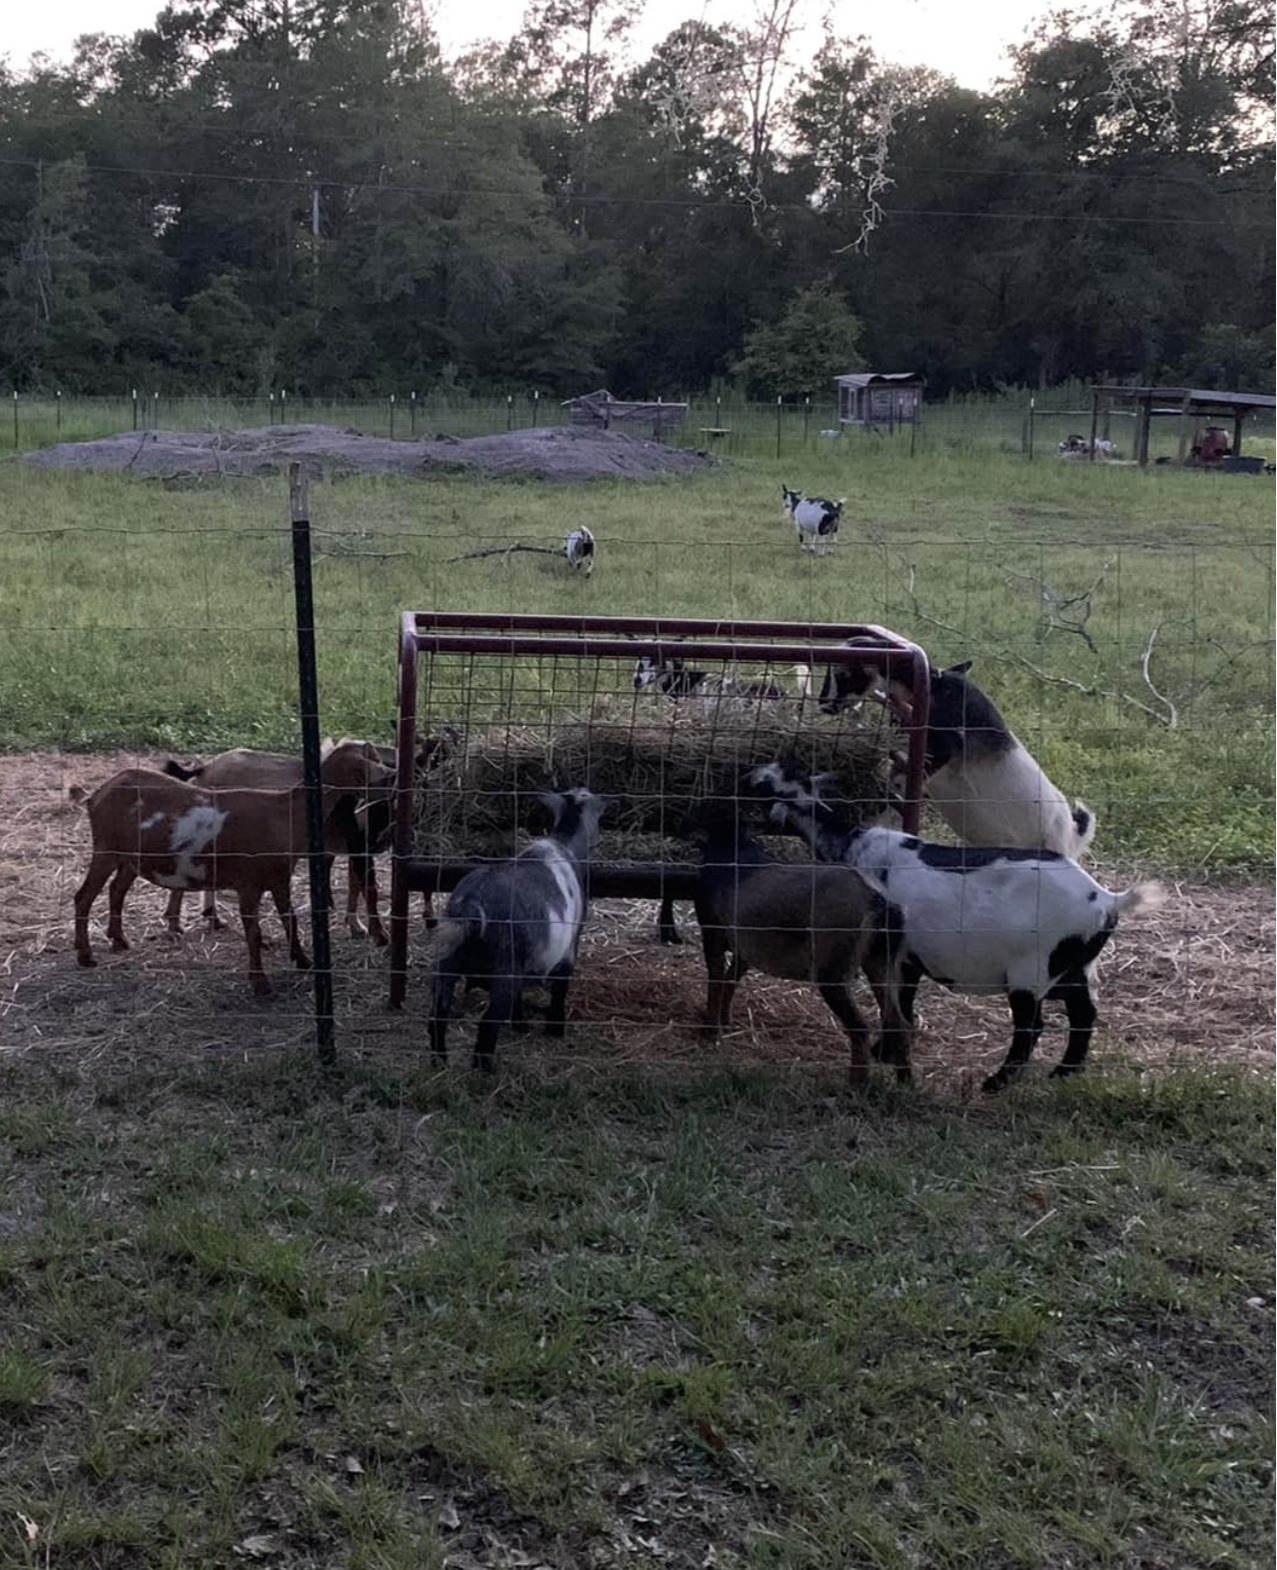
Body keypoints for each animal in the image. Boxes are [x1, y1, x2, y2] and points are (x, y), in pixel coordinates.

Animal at [72, 741, 394, 996]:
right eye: (365, 766)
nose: (391, 778)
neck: (284, 812)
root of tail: (97, 793)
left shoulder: (279, 878)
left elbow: (289, 919)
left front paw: (304, 961)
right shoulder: (248, 884)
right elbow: (255, 933)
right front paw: (260, 983)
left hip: (129, 857)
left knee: (117, 889)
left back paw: (119, 939)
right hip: (105, 849)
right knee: (84, 896)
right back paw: (86, 956)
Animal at [429, 787, 607, 1071]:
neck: (565, 843)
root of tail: (471, 905)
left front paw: (520, 1024)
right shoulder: (570, 945)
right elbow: (561, 986)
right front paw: (555, 1028)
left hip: (447, 958)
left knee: (438, 1015)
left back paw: (439, 1064)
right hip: (504, 965)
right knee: (488, 1023)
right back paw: (484, 1070)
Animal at [693, 813, 912, 1084]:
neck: (732, 847)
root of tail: (879, 902)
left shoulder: (712, 928)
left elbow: (715, 978)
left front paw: (710, 1032)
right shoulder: (745, 944)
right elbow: (730, 979)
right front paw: (724, 1021)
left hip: (832, 970)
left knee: (861, 1028)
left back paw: (856, 1086)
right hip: (881, 962)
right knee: (897, 1023)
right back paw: (905, 1084)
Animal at [749, 760, 1164, 1091]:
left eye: (760, 786)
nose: (746, 776)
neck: (853, 847)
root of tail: (1108, 900)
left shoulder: (892, 953)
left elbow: (896, 1003)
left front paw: (884, 1051)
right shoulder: (909, 959)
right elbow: (903, 1002)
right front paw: (886, 1052)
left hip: (1032, 969)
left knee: (1031, 1027)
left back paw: (997, 1082)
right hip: (1076, 965)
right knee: (1083, 1015)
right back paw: (1064, 1072)